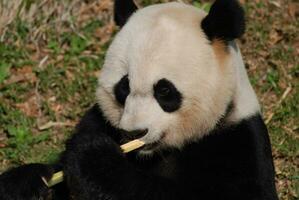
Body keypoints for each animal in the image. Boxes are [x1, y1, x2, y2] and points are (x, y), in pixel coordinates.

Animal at [0, 0, 282, 199]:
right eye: (123, 87)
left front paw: (95, 159)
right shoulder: (98, 120)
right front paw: (29, 183)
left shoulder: (238, 141)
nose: (135, 132)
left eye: (164, 91)